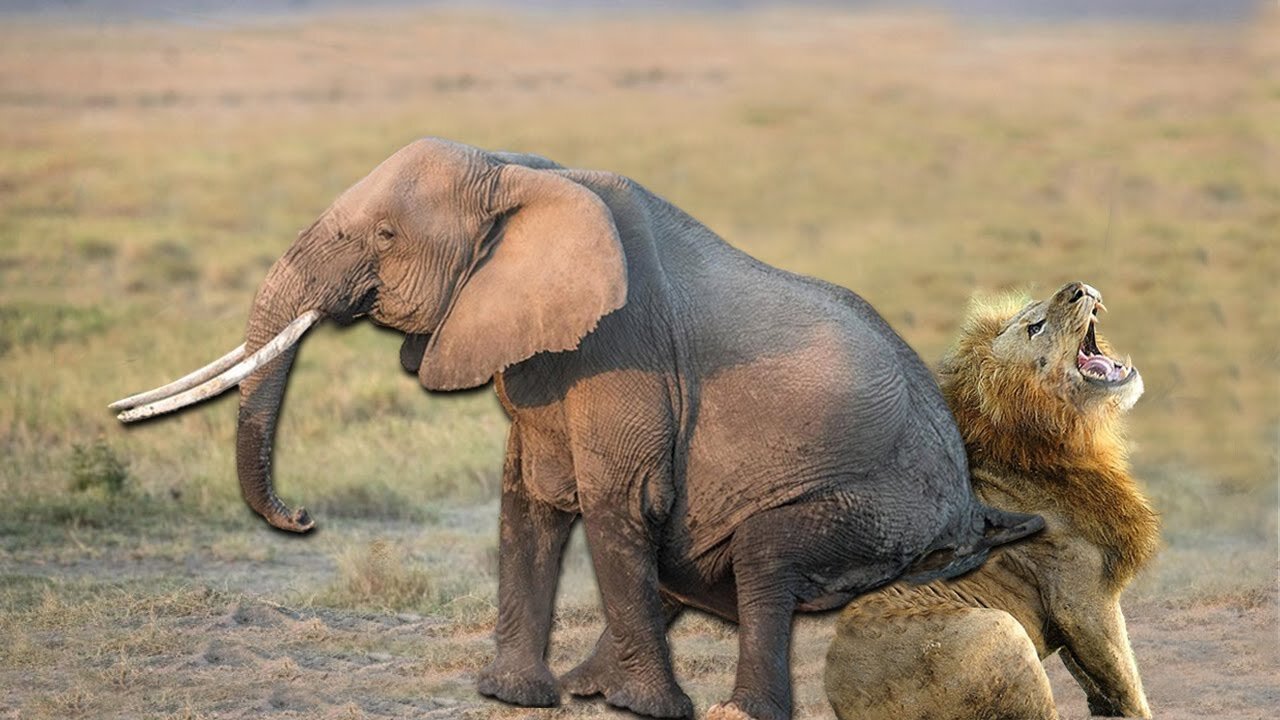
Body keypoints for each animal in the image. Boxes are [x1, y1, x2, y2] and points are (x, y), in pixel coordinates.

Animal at [112, 137, 1039, 712]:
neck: (524, 171)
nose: (302, 518)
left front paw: (645, 709)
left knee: (763, 559)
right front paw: (512, 696)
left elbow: (616, 502)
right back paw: (590, 684)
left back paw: (720, 708)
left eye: (384, 233)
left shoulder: (624, 351)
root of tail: (970, 508)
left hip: (884, 511)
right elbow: (527, 501)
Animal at [824, 280, 1167, 717]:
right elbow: (1128, 686)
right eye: (1035, 327)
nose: (1078, 288)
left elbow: (1099, 688)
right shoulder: (1082, 599)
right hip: (1003, 629)